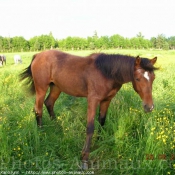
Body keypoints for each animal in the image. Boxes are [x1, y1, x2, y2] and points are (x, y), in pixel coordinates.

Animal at [19, 49, 158, 170]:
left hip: (56, 87)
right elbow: (90, 127)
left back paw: (57, 127)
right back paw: (41, 132)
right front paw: (84, 159)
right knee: (38, 109)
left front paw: (100, 142)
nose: (149, 107)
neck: (105, 72)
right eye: (137, 78)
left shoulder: (106, 100)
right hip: (41, 88)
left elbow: (102, 121)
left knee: (49, 103)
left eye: (153, 78)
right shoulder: (93, 100)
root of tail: (37, 55)